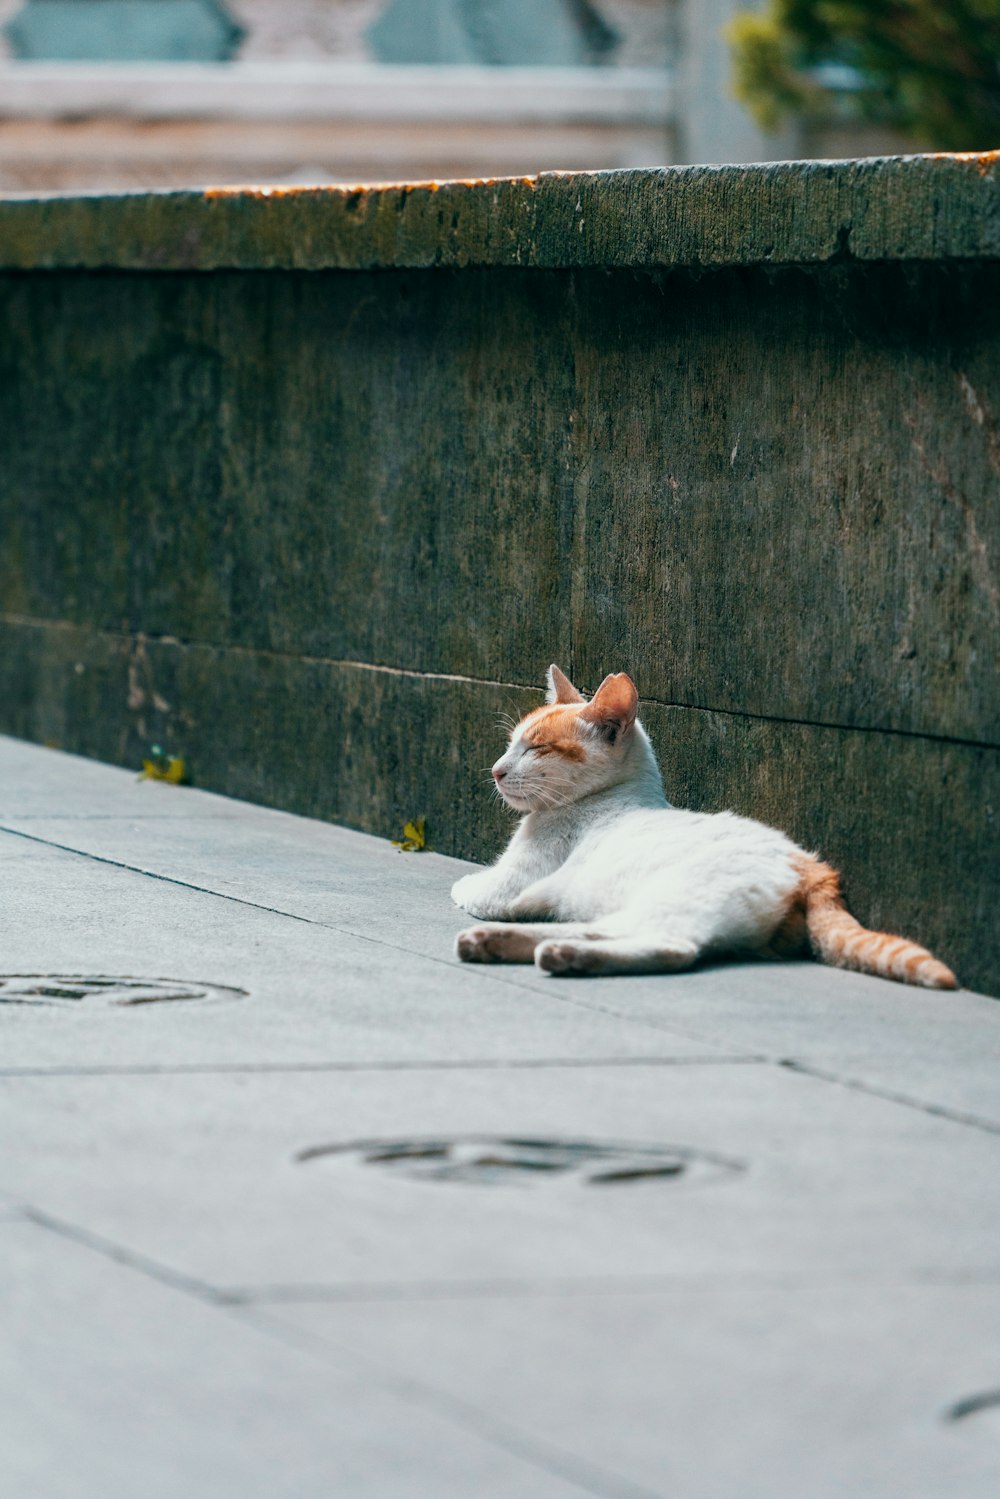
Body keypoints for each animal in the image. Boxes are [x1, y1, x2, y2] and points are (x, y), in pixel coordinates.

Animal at [449, 662, 959, 989]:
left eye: (536, 749)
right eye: (511, 745)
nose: (496, 770)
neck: (612, 798)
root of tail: (811, 865)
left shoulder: (506, 887)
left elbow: (468, 888)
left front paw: (461, 889)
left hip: (672, 897)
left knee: (669, 947)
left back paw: (549, 953)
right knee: (603, 929)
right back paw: (506, 944)